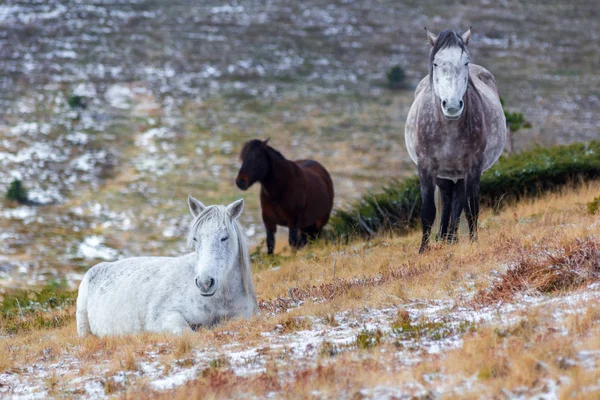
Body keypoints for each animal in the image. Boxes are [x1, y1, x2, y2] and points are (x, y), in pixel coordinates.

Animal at [76, 195, 256, 336]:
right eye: (195, 238)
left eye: (224, 237)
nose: (204, 282)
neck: (220, 300)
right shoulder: (163, 317)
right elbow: (188, 333)